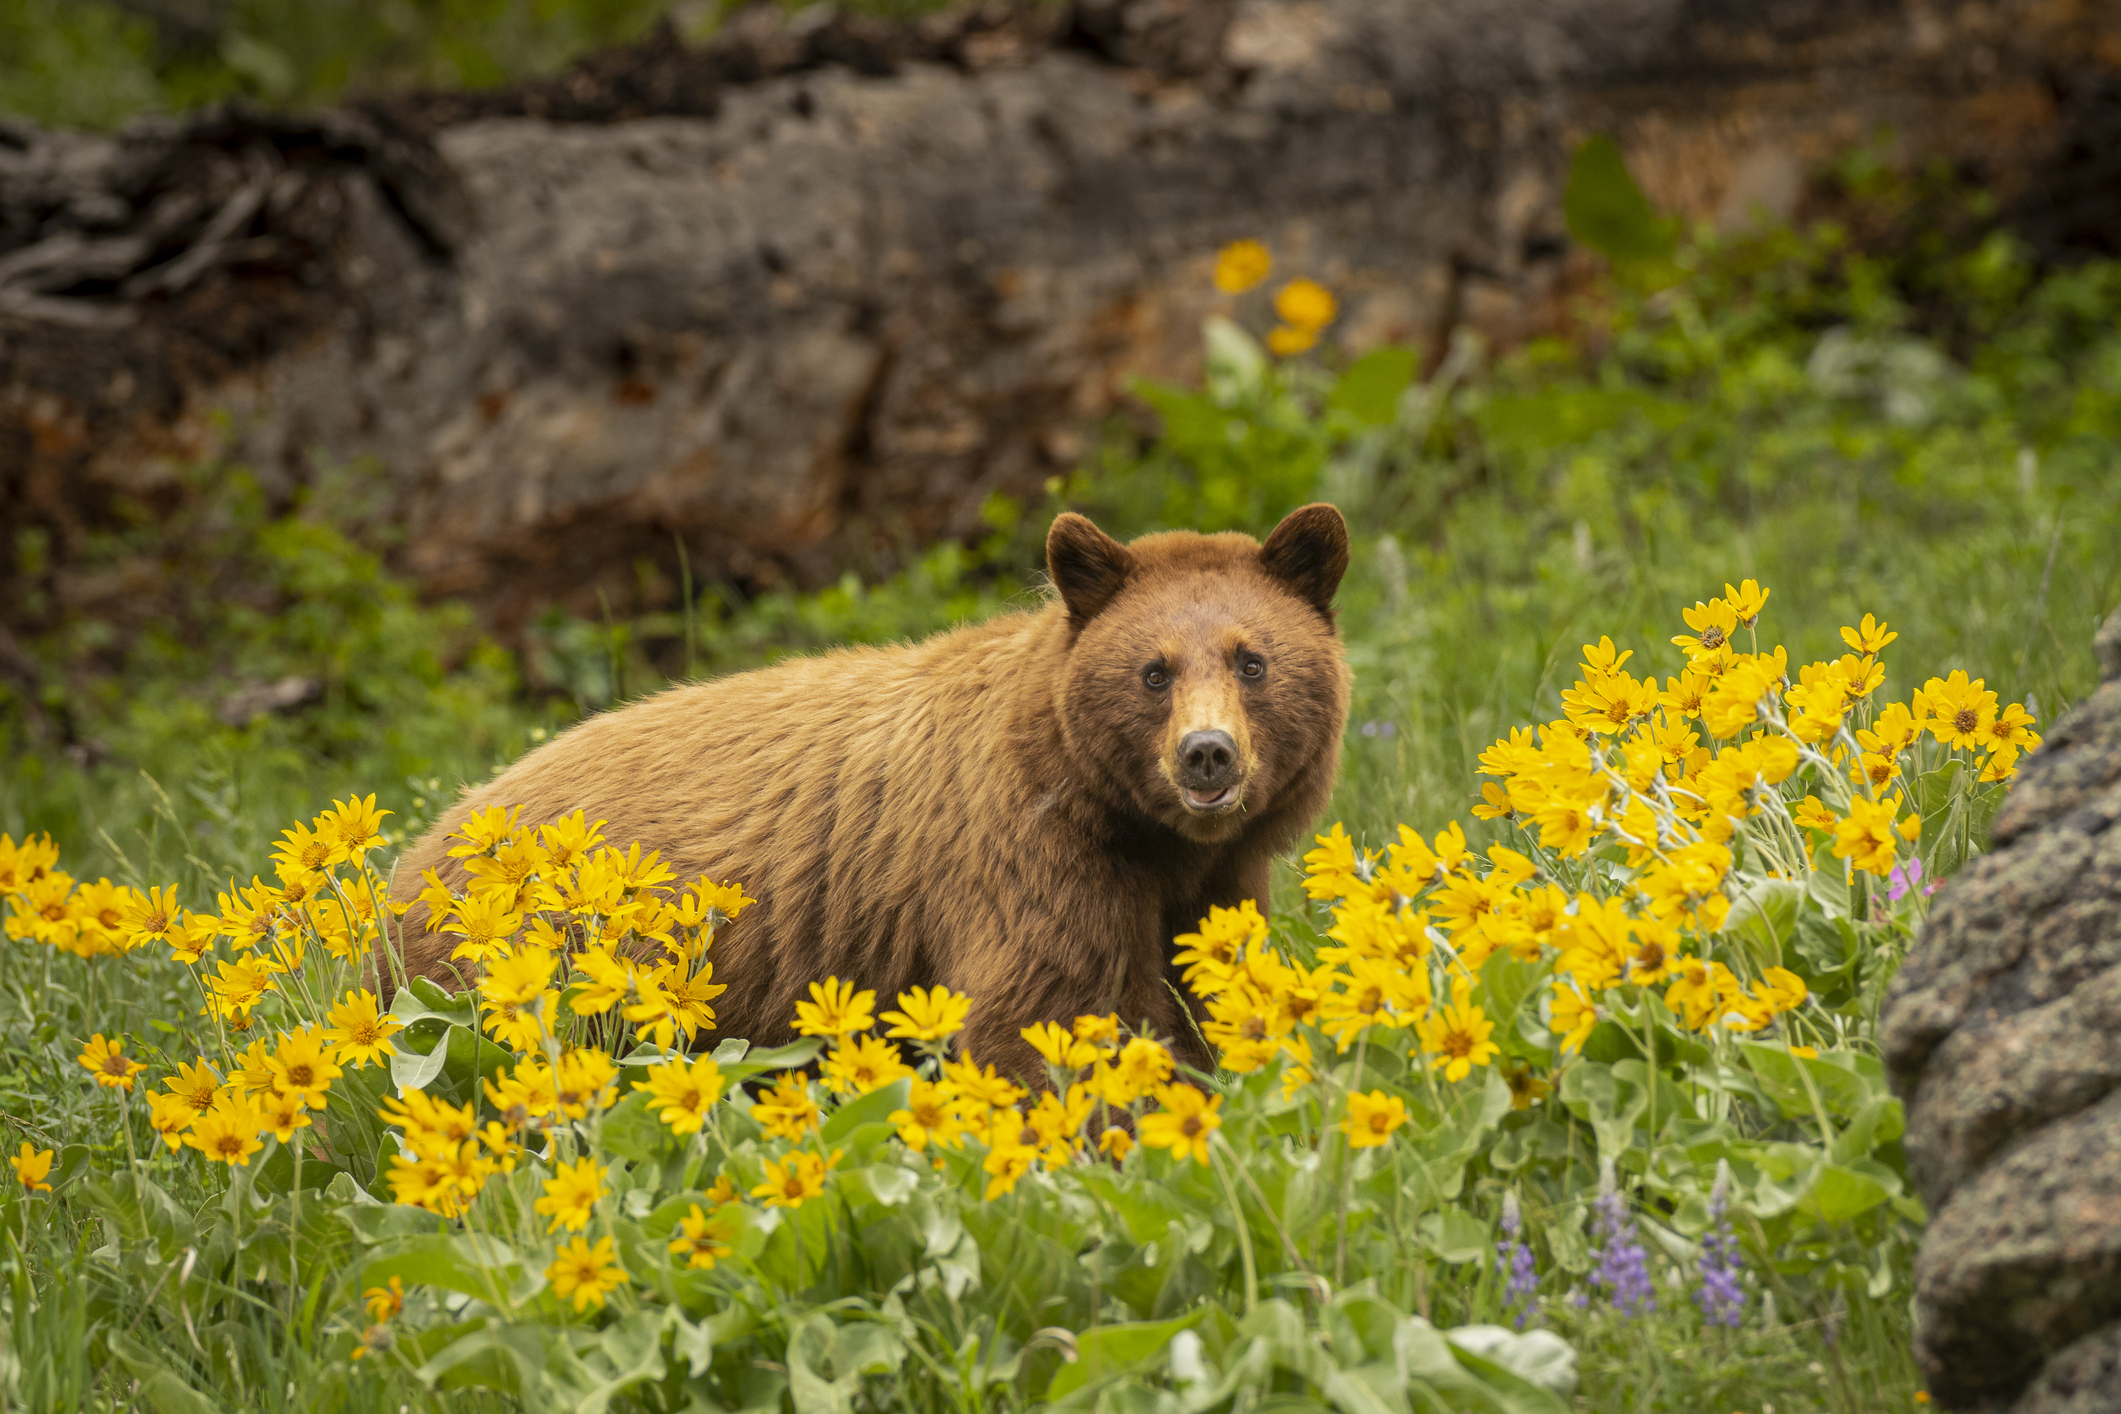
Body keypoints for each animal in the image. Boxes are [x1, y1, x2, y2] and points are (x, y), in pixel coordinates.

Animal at [390, 506, 1348, 1085]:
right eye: (1153, 671)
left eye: (1252, 660)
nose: (1206, 756)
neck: (1137, 832)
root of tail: (416, 855)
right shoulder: (1028, 860)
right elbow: (1039, 1018)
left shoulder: (1212, 884)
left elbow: (1204, 995)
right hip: (521, 977)